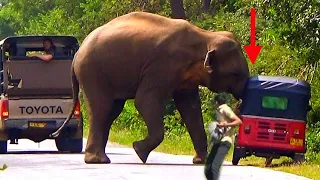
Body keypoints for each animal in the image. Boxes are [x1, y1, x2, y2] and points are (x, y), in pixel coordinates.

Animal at [50, 11, 250, 165]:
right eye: (236, 74)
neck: (204, 36)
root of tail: (77, 54)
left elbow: (190, 107)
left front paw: (200, 161)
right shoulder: (161, 66)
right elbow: (145, 101)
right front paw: (138, 150)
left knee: (111, 111)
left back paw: (100, 159)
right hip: (93, 73)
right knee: (102, 109)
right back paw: (98, 161)